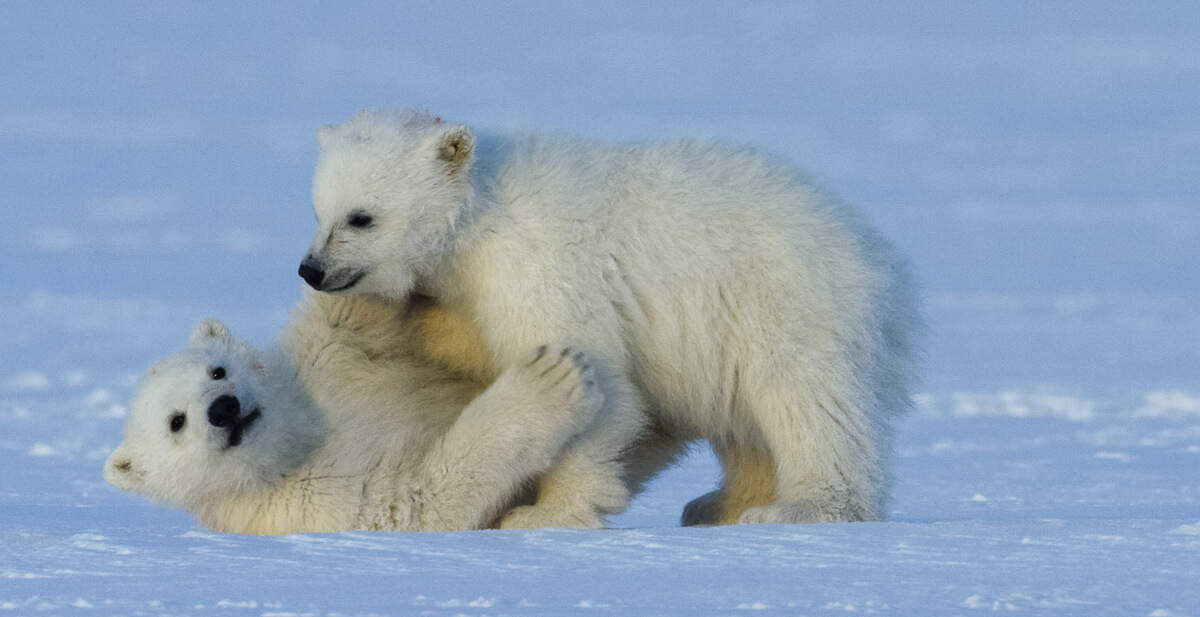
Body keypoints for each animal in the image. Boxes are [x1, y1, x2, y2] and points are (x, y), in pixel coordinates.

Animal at [104, 290, 602, 534]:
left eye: (216, 369)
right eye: (175, 421)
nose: (224, 408)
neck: (297, 440)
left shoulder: (323, 360)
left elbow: (350, 314)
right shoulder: (306, 506)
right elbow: (420, 499)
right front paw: (554, 375)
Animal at [298, 108, 920, 528]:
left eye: (361, 217)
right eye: (317, 211)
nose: (311, 270)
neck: (477, 216)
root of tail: (879, 262)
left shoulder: (535, 266)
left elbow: (599, 383)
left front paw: (545, 513)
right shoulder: (458, 298)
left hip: (784, 300)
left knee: (804, 401)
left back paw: (802, 506)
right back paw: (721, 503)